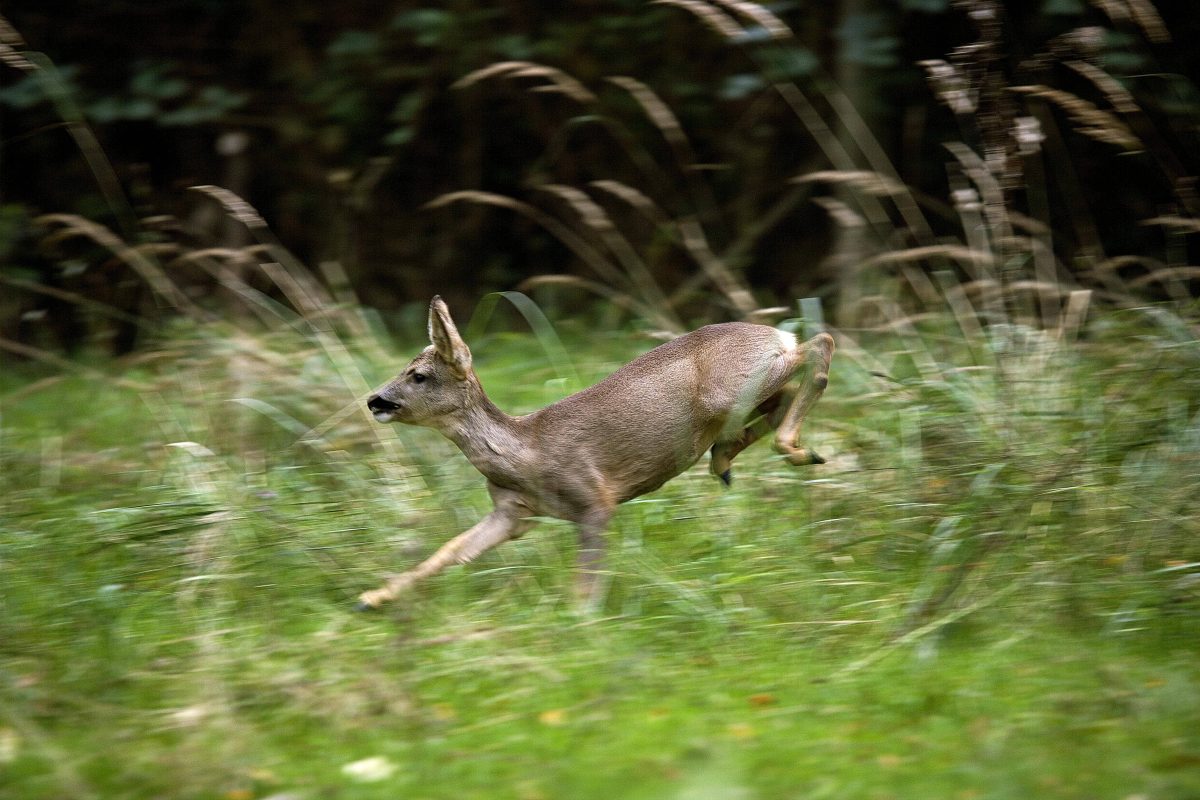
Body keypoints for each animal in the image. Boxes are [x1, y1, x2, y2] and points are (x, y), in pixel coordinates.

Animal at [355, 297, 835, 609]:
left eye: (419, 375)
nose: (375, 400)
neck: (526, 452)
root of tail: (776, 332)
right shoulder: (512, 512)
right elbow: (452, 550)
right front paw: (372, 597)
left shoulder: (594, 499)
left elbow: (586, 582)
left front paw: (582, 631)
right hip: (739, 398)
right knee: (782, 396)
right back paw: (730, 458)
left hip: (729, 390)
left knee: (819, 345)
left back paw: (793, 451)